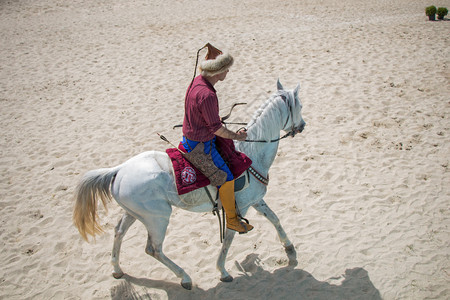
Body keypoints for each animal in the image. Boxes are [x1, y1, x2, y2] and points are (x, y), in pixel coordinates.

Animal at [73, 79, 306, 288]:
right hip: (157, 219)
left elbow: (274, 219)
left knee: (119, 232)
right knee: (153, 249)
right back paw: (184, 277)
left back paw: (117, 269)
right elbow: (229, 238)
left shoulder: (256, 201)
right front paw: (222, 270)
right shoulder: (240, 207)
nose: (302, 126)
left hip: (133, 213)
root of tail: (120, 169)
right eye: (300, 106)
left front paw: (289, 249)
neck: (252, 153)